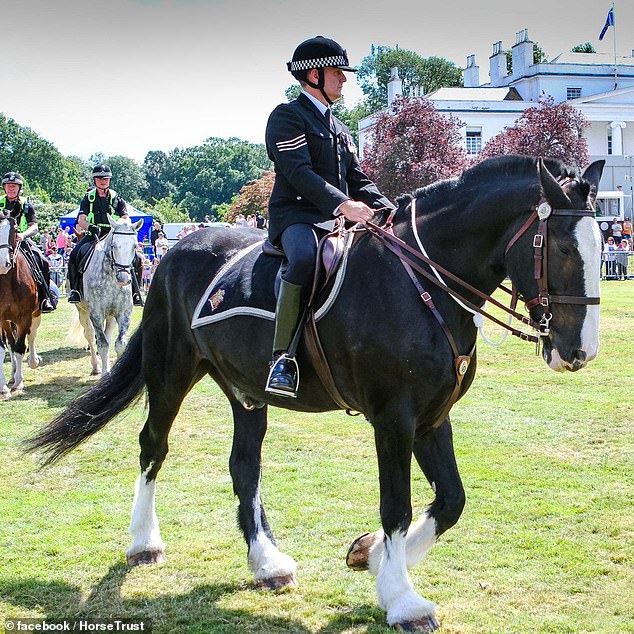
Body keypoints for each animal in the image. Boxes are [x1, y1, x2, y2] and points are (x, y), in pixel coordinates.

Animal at [28, 154, 604, 632]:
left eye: (601, 245)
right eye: (562, 248)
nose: (579, 351)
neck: (421, 282)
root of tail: (174, 253)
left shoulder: (432, 416)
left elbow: (451, 500)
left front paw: (370, 556)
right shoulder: (394, 418)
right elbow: (397, 506)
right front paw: (401, 598)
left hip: (245, 391)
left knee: (244, 466)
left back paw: (266, 563)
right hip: (171, 370)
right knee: (153, 446)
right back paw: (144, 542)